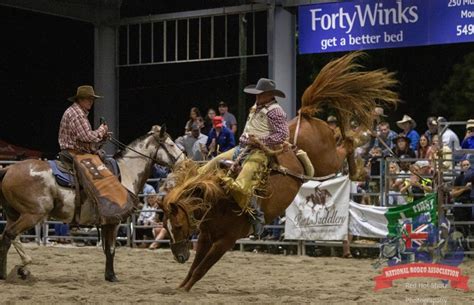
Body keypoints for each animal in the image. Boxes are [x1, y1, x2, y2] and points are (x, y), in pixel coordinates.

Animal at [0, 125, 185, 280]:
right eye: (170, 144)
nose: (184, 160)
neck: (125, 173)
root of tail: (9, 168)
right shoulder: (114, 222)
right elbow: (111, 249)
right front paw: (112, 276)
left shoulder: (106, 223)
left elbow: (107, 249)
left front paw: (108, 275)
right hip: (32, 214)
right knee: (9, 235)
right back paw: (14, 270)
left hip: (13, 214)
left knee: (8, 236)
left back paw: (18, 269)